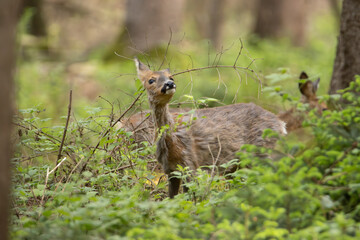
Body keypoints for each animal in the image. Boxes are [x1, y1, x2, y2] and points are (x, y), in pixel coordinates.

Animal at [134, 57, 286, 197]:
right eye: (151, 80)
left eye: (171, 77)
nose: (170, 83)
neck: (172, 142)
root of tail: (280, 123)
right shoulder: (170, 170)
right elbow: (172, 198)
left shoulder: (190, 162)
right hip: (236, 165)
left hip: (261, 152)